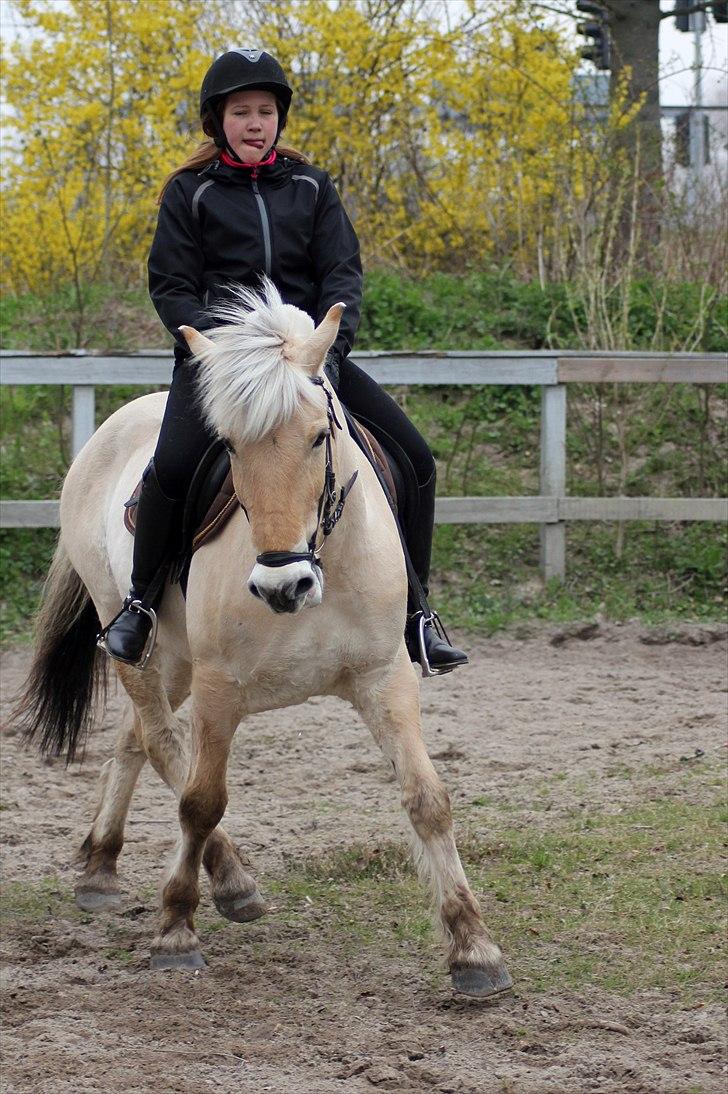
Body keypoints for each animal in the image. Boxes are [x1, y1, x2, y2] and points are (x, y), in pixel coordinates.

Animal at [15, 281, 513, 999]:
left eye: (319, 436)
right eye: (227, 445)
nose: (284, 585)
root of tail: (109, 427)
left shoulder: (384, 677)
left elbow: (428, 800)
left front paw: (474, 949)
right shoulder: (222, 687)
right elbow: (200, 801)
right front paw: (175, 930)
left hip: (175, 660)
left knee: (135, 739)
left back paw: (102, 865)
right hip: (140, 639)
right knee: (162, 743)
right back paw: (229, 880)